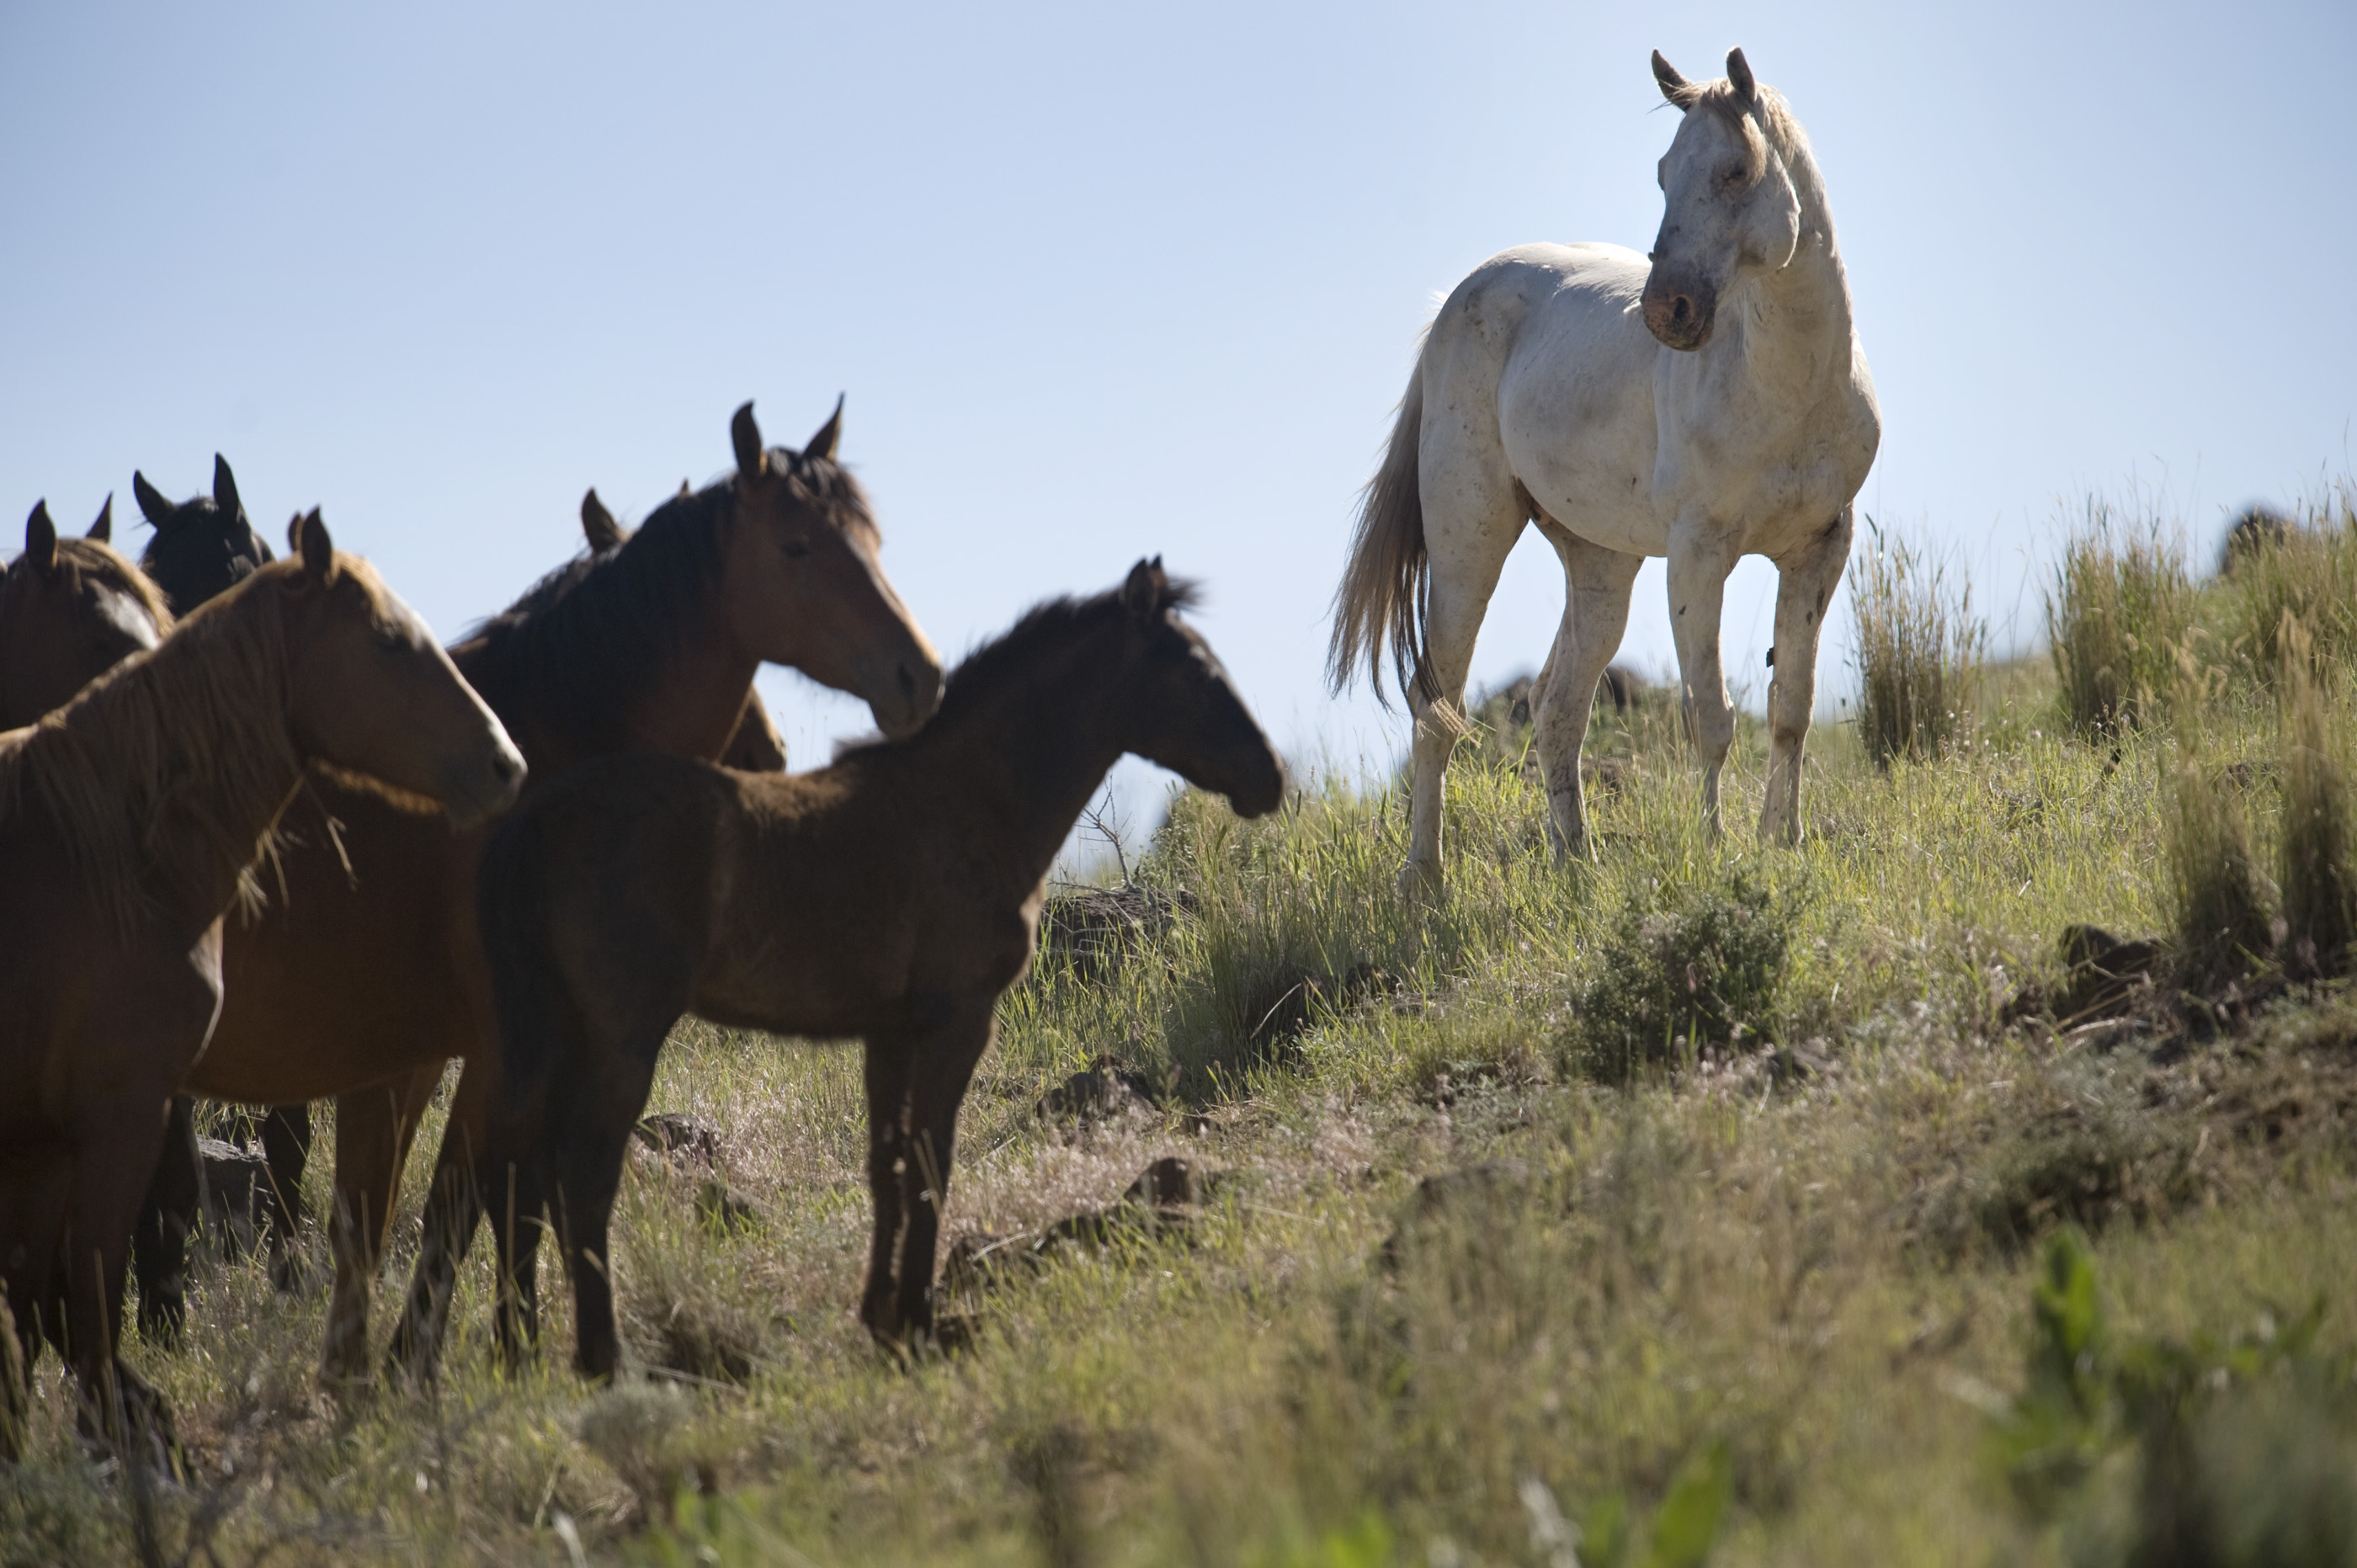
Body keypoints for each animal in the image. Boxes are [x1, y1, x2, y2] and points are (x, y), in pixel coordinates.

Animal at [159, 401, 938, 1386]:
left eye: (870, 537)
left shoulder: (449, 1053)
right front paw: (432, 1365)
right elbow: (465, 1196)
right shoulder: (491, 1046)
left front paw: (466, 1354)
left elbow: (459, 1202)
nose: (919, 675)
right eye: (797, 546)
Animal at [434, 556, 1291, 1377]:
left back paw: (521, 1351)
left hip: (553, 1032)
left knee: (517, 1176)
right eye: (1194, 667)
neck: (969, 801)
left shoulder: (889, 1033)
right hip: (621, 1035)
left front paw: (883, 1318)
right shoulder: (958, 1020)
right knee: (579, 1175)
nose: (1271, 776)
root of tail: (537, 818)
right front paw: (920, 1320)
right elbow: (931, 1161)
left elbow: (888, 1164)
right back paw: (604, 1360)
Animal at [1329, 45, 1875, 890]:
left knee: (1558, 711)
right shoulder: (1697, 556)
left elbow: (1792, 709)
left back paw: (1576, 864)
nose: (1666, 311)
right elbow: (1711, 717)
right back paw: (1424, 879)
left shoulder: (1821, 547)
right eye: (1663, 173)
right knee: (1437, 706)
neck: (1787, 385)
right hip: (1468, 549)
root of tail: (1460, 298)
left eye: (1736, 170)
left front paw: (1783, 843)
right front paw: (1715, 850)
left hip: (1600, 564)